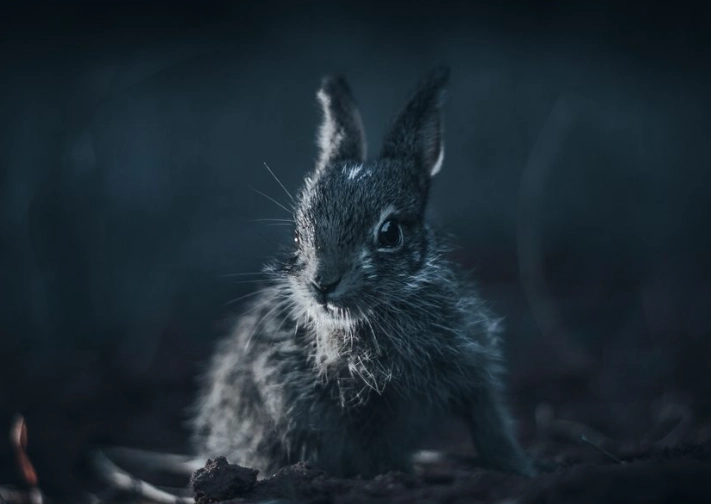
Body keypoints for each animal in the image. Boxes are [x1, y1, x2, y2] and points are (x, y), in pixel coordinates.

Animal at [190, 67, 536, 479]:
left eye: (390, 234)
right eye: (298, 234)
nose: (322, 284)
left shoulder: (473, 370)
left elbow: (490, 424)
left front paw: (521, 468)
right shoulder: (362, 408)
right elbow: (380, 450)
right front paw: (400, 476)